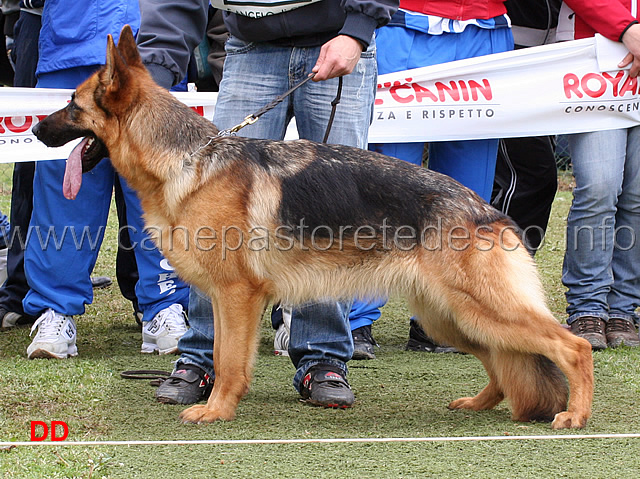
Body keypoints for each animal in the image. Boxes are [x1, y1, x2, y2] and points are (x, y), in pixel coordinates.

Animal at [33, 26, 596, 430]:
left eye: (72, 105)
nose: (34, 128)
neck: (189, 160)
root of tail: (486, 209)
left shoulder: (238, 297)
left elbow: (230, 361)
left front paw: (216, 412)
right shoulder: (224, 299)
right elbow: (220, 354)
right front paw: (216, 401)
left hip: (480, 310)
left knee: (571, 347)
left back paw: (575, 414)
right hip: (452, 319)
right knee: (505, 362)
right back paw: (481, 404)